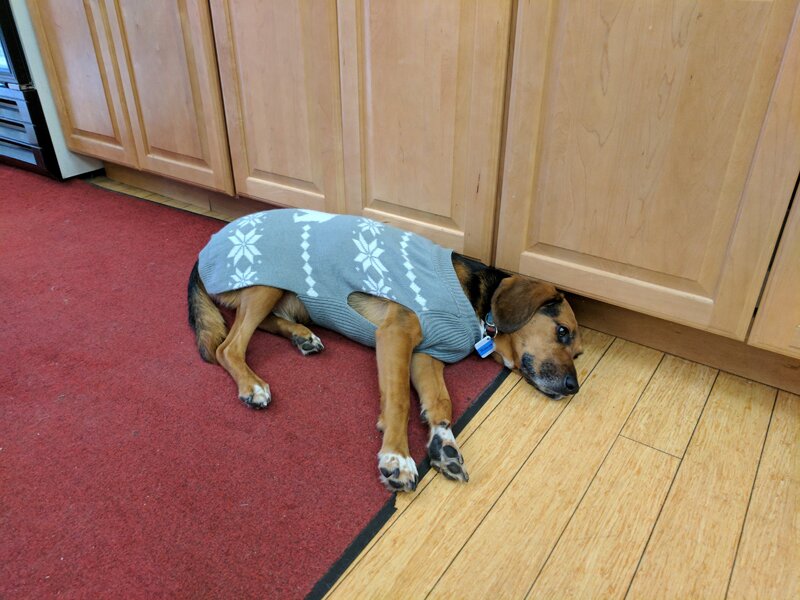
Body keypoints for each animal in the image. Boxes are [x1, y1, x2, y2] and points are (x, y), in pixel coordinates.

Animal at [188, 209, 580, 490]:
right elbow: (399, 400)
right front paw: (396, 458)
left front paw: (443, 443)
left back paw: (302, 336)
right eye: (562, 332)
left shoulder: (426, 355)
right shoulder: (397, 335)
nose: (574, 388)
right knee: (228, 346)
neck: (478, 305)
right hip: (265, 284)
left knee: (264, 323)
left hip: (285, 298)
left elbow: (440, 402)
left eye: (577, 354)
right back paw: (252, 385)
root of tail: (208, 245)